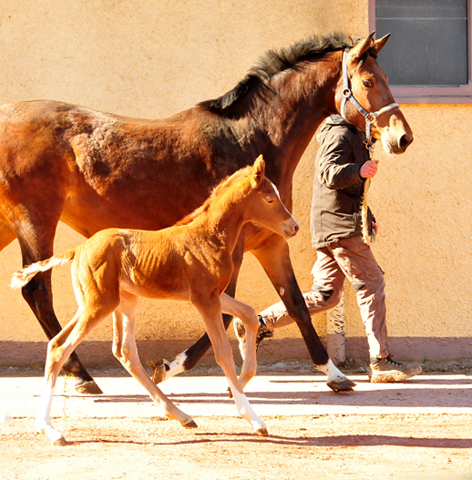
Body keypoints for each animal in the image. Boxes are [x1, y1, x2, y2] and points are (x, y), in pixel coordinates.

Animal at [0, 31, 412, 396]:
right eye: (369, 80)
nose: (402, 137)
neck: (252, 139)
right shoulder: (232, 247)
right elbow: (227, 311)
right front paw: (173, 366)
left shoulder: (270, 242)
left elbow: (295, 302)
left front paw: (334, 374)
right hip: (36, 220)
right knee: (37, 290)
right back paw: (80, 375)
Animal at [12, 156, 298, 444]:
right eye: (270, 199)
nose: (294, 226)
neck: (210, 237)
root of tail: (78, 249)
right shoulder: (204, 299)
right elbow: (223, 352)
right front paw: (253, 418)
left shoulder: (214, 295)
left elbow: (249, 313)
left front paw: (239, 381)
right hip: (99, 305)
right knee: (62, 347)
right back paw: (49, 429)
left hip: (117, 302)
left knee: (118, 350)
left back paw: (181, 415)